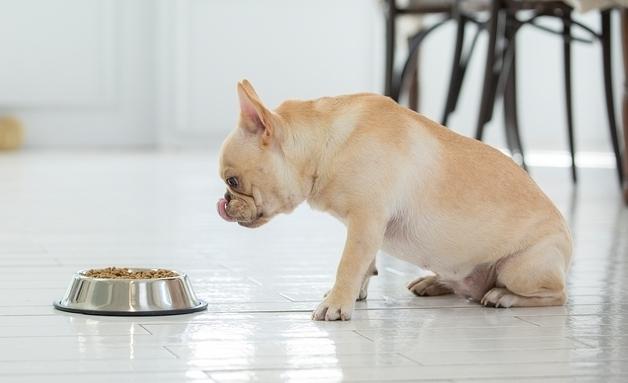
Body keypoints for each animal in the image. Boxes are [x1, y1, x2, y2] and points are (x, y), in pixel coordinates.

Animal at [217, 80, 576, 320]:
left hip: (520, 268)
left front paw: (336, 304)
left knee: (557, 295)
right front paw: (354, 294)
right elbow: (365, 265)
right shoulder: (367, 229)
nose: (224, 202)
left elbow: (349, 264)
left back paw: (503, 296)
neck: (326, 146)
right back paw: (434, 282)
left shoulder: (365, 222)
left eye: (233, 181)